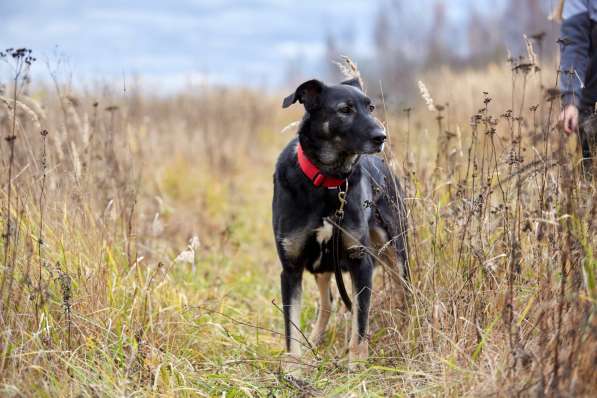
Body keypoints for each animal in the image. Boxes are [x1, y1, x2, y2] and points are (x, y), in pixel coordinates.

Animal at [272, 77, 408, 370]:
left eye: (370, 107)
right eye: (345, 110)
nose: (381, 137)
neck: (328, 182)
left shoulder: (360, 261)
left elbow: (361, 319)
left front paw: (356, 363)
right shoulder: (291, 267)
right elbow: (291, 326)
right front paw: (293, 366)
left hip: (396, 250)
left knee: (405, 293)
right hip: (322, 264)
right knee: (328, 302)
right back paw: (314, 340)